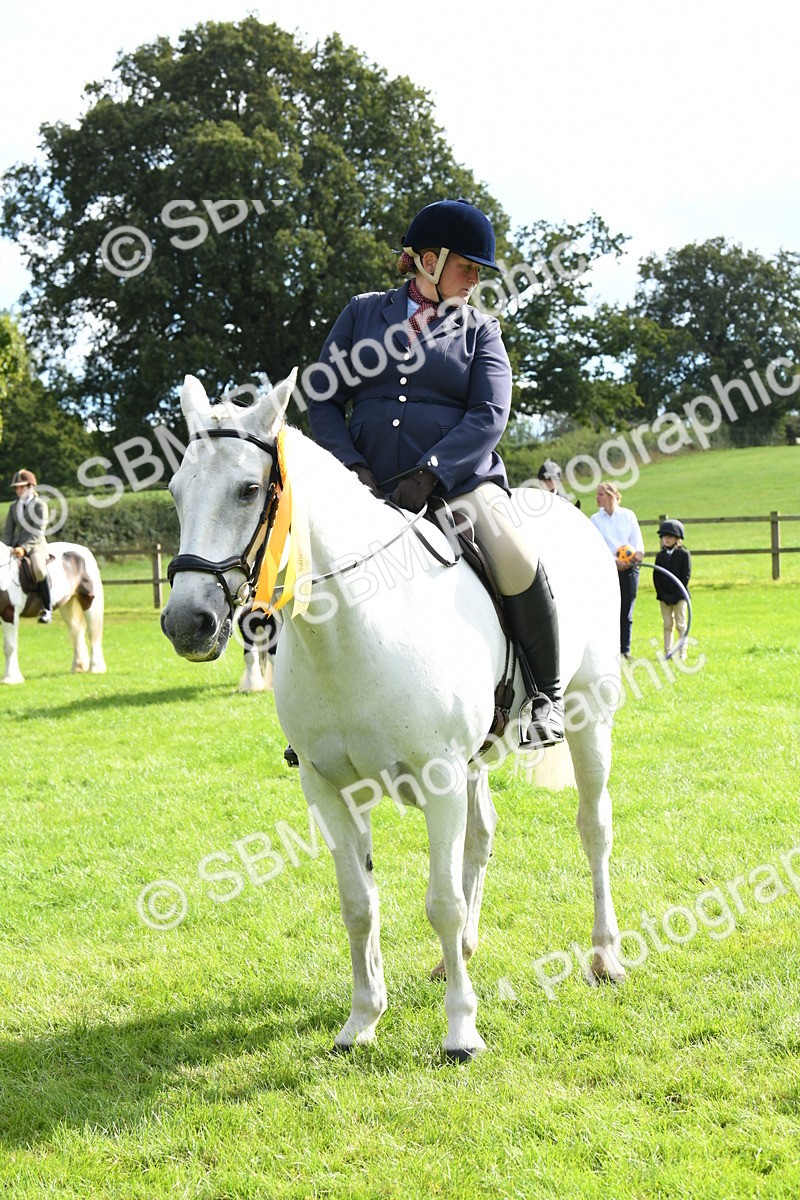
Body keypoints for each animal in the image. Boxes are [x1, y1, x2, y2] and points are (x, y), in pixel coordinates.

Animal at [0, 540, 107, 684]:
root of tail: (83, 550)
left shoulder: (9, 613)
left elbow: (9, 647)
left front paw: (11, 679)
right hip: (67, 605)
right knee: (77, 631)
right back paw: (78, 667)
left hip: (89, 601)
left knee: (92, 632)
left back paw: (95, 668)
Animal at [161, 374, 626, 1059]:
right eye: (176, 491)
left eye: (248, 489)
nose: (186, 623)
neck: (350, 631)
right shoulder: (328, 787)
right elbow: (359, 903)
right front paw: (362, 1021)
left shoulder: (438, 778)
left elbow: (442, 902)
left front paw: (461, 1031)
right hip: (474, 760)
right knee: (481, 836)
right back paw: (458, 957)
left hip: (589, 721)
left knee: (593, 828)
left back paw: (605, 957)